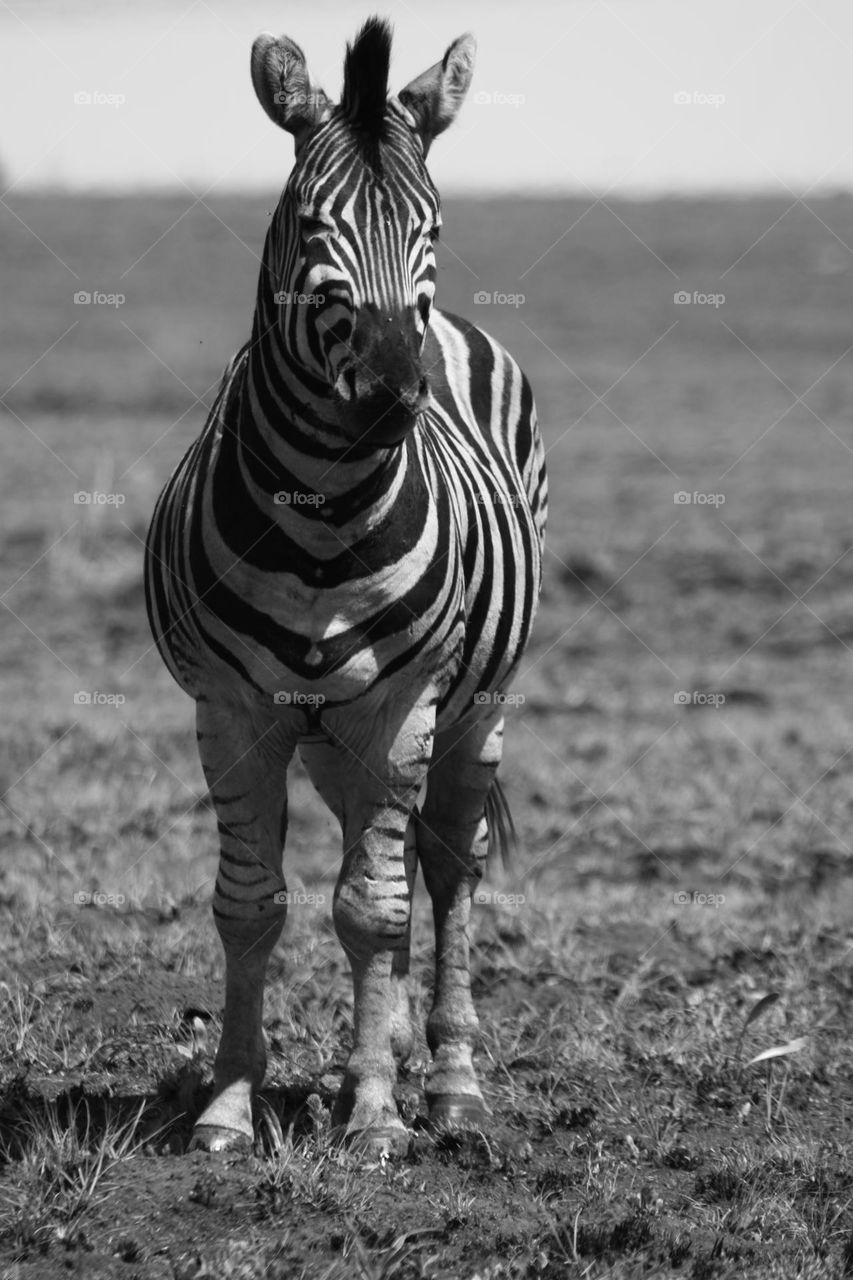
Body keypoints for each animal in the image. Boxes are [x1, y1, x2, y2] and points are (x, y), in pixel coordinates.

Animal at [145, 16, 547, 1158]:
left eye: (432, 224)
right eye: (307, 222)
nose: (387, 391)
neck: (323, 514)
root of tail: (448, 325)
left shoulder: (404, 701)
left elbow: (374, 908)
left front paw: (371, 1116)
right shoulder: (233, 707)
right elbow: (254, 904)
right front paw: (231, 1103)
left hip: (472, 708)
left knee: (445, 865)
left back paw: (445, 1080)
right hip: (332, 732)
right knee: (389, 854)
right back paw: (398, 1048)